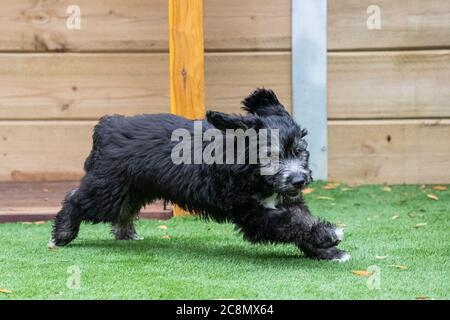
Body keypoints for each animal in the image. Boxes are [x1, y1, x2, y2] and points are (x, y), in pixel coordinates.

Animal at [50, 89, 352, 262]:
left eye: (300, 151)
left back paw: (126, 233)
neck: (248, 166)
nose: (299, 181)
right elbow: (290, 223)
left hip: (133, 186)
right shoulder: (251, 211)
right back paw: (62, 233)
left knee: (123, 208)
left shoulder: (284, 199)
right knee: (77, 198)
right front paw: (329, 236)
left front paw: (327, 251)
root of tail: (107, 126)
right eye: (271, 155)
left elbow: (300, 218)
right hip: (110, 187)